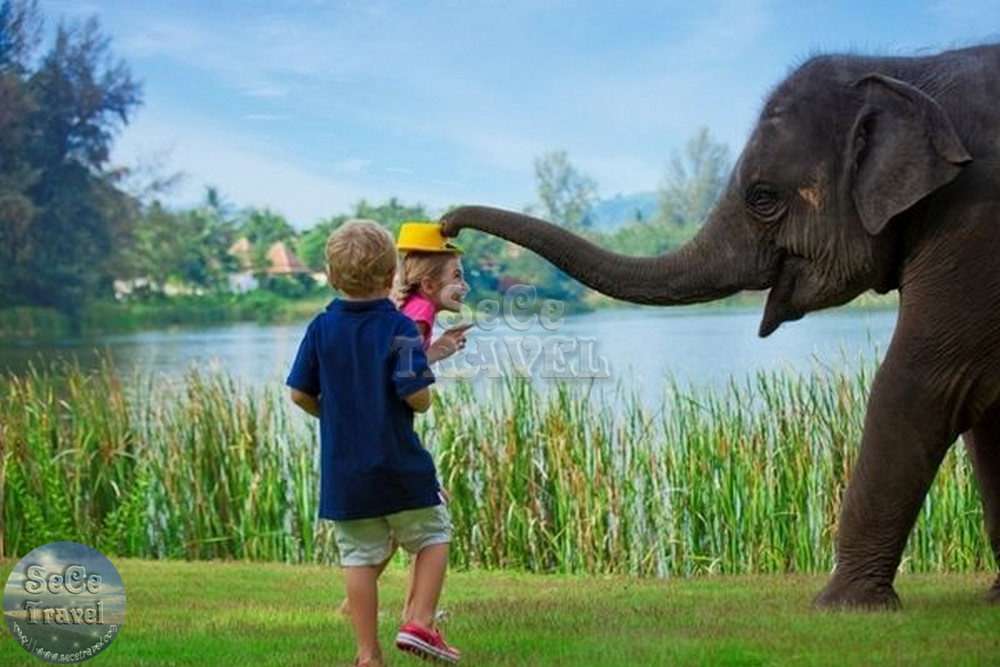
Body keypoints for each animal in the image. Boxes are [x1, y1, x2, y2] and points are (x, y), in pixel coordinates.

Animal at [442, 44, 1000, 612]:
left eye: (762, 197)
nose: (447, 225)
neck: (908, 68)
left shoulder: (975, 221)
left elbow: (921, 382)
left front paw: (842, 606)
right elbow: (982, 409)